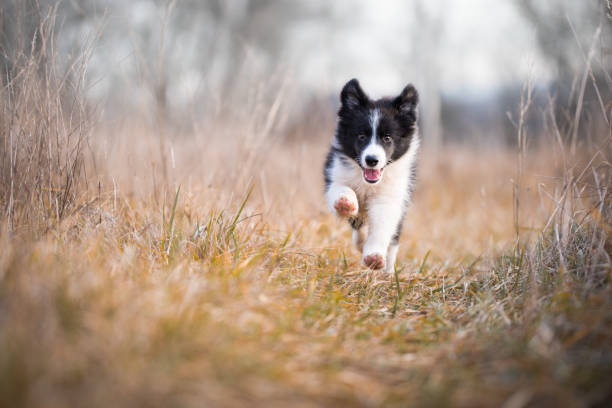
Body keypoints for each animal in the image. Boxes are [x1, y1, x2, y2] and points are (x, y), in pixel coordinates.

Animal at [326, 78, 420, 272]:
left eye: (387, 138)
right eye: (361, 136)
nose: (371, 160)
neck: (368, 183)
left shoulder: (391, 196)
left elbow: (382, 224)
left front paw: (374, 256)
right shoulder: (335, 171)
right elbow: (340, 188)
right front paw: (344, 202)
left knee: (392, 240)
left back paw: (388, 271)